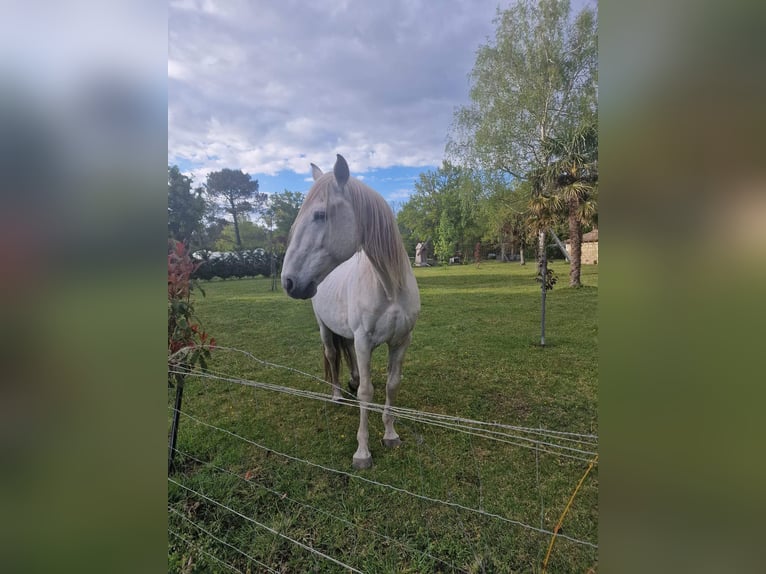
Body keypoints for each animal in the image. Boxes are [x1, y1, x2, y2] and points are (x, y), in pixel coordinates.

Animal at [282, 155, 420, 470]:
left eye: (320, 215)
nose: (289, 281)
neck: (389, 287)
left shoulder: (401, 341)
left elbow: (392, 385)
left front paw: (390, 434)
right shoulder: (364, 341)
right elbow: (366, 393)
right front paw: (363, 452)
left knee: (348, 356)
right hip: (325, 329)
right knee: (333, 355)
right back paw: (336, 396)